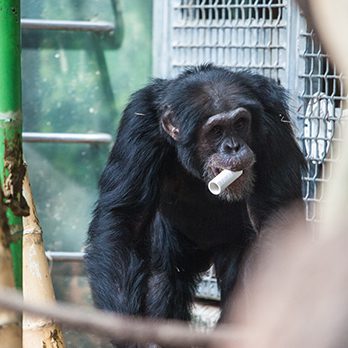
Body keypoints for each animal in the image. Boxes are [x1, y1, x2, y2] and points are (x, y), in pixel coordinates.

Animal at [84, 63, 304, 332]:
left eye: (240, 123)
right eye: (217, 130)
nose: (233, 147)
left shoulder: (273, 118)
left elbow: (276, 215)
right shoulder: (138, 127)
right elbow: (124, 219)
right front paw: (128, 330)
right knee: (162, 276)